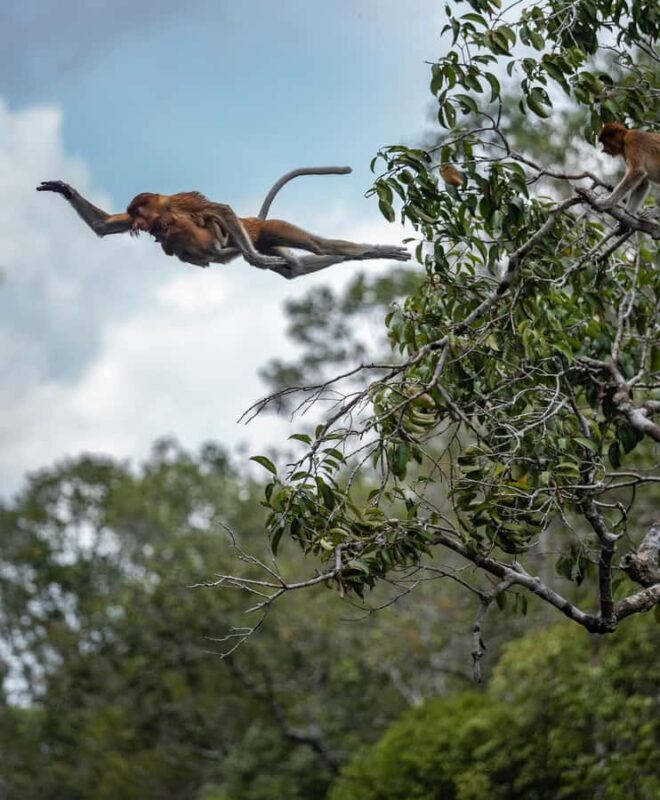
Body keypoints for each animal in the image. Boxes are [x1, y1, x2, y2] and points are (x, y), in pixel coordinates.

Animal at [36, 178, 410, 279]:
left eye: (139, 212)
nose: (141, 224)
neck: (159, 210)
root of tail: (254, 226)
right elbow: (104, 226)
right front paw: (61, 188)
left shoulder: (176, 203)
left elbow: (217, 210)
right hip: (265, 236)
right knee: (295, 268)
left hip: (262, 229)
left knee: (317, 246)